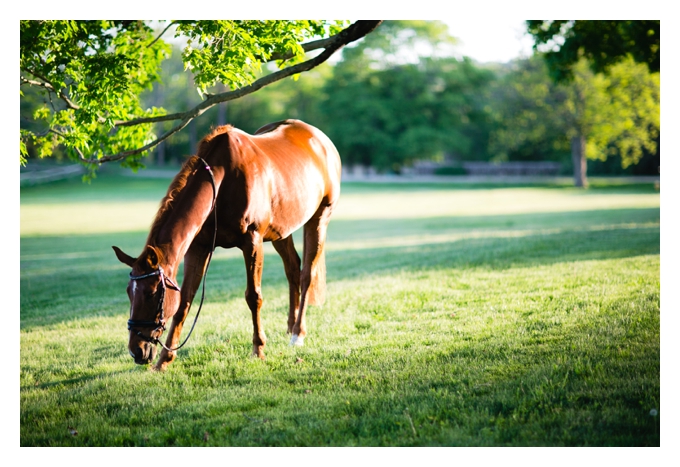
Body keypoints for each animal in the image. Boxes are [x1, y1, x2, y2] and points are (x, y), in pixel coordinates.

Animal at [112, 119, 341, 371]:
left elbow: (254, 297)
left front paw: (258, 349)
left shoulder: (253, 242)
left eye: (152, 293)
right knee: (292, 269)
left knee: (306, 274)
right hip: (281, 231)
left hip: (319, 218)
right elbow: (184, 303)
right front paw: (165, 360)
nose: (136, 351)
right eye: (129, 292)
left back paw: (298, 333)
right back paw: (291, 328)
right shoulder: (199, 247)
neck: (222, 180)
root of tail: (320, 138)